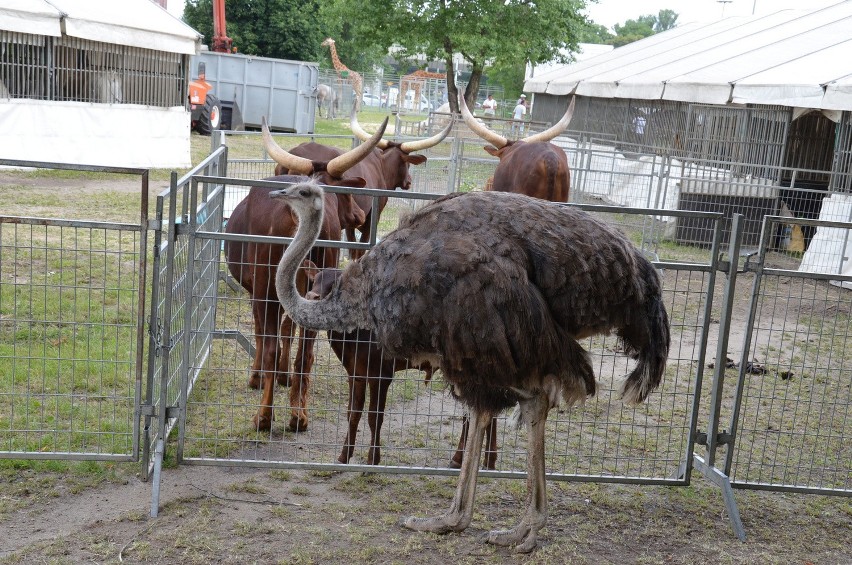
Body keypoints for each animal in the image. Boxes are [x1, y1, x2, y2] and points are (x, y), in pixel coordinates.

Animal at [225, 117, 388, 430]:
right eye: (346, 192)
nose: (361, 216)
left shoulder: (258, 294)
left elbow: (266, 336)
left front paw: (260, 377)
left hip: (266, 291)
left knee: (273, 346)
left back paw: (264, 416)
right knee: (306, 354)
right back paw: (298, 415)